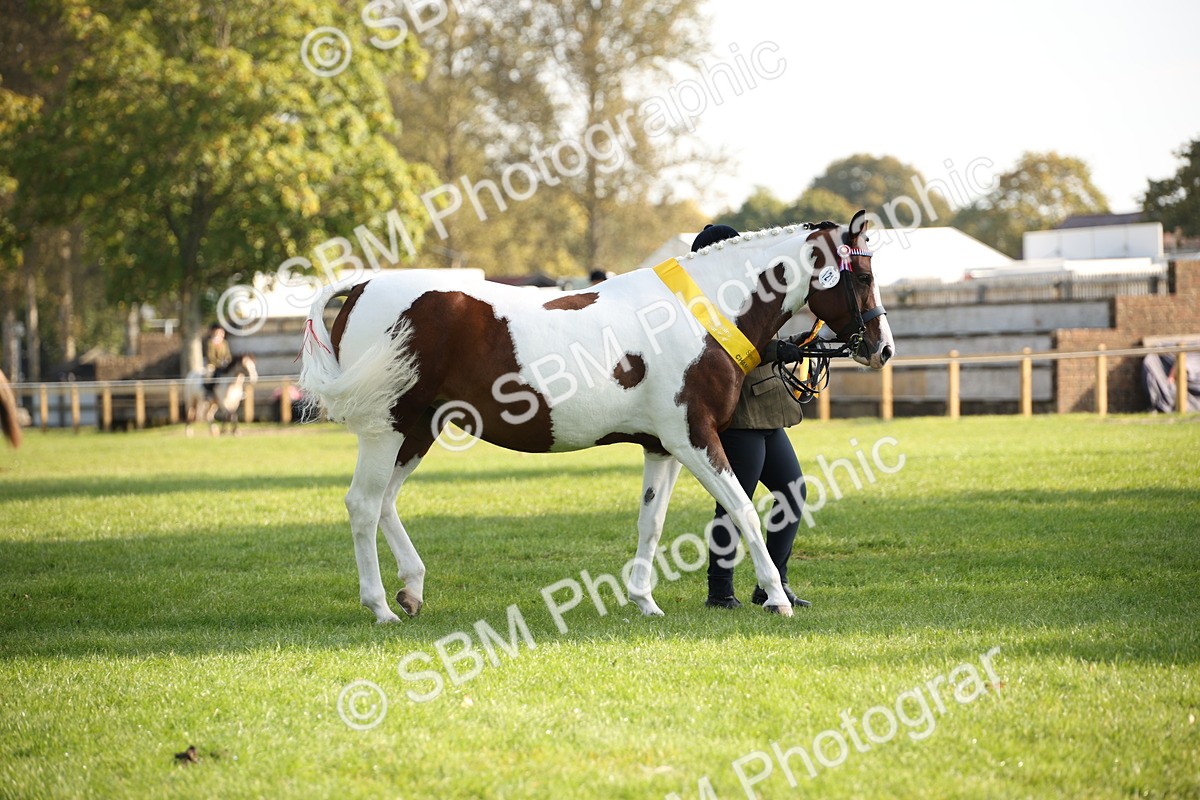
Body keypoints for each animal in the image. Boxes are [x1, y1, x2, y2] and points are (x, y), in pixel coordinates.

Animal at [299, 210, 894, 623]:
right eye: (862, 277)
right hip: (387, 428)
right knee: (363, 505)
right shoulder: (695, 438)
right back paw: (380, 606)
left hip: (418, 429)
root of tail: (363, 286)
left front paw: (644, 601)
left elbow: (651, 522)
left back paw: (412, 590)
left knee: (385, 503)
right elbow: (744, 511)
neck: (699, 313)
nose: (882, 348)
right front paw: (775, 598)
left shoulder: (661, 446)